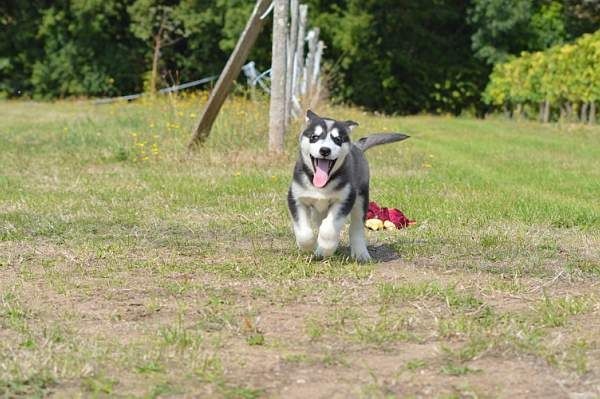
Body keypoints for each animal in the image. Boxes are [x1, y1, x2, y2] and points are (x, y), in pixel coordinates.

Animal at [288, 111, 410, 264]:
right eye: (314, 137)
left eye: (338, 139)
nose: (325, 150)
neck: (322, 185)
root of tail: (356, 147)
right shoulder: (296, 198)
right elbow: (304, 231)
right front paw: (309, 247)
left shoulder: (345, 199)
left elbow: (329, 229)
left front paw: (326, 248)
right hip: (319, 210)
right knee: (320, 221)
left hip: (361, 198)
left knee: (355, 227)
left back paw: (360, 253)